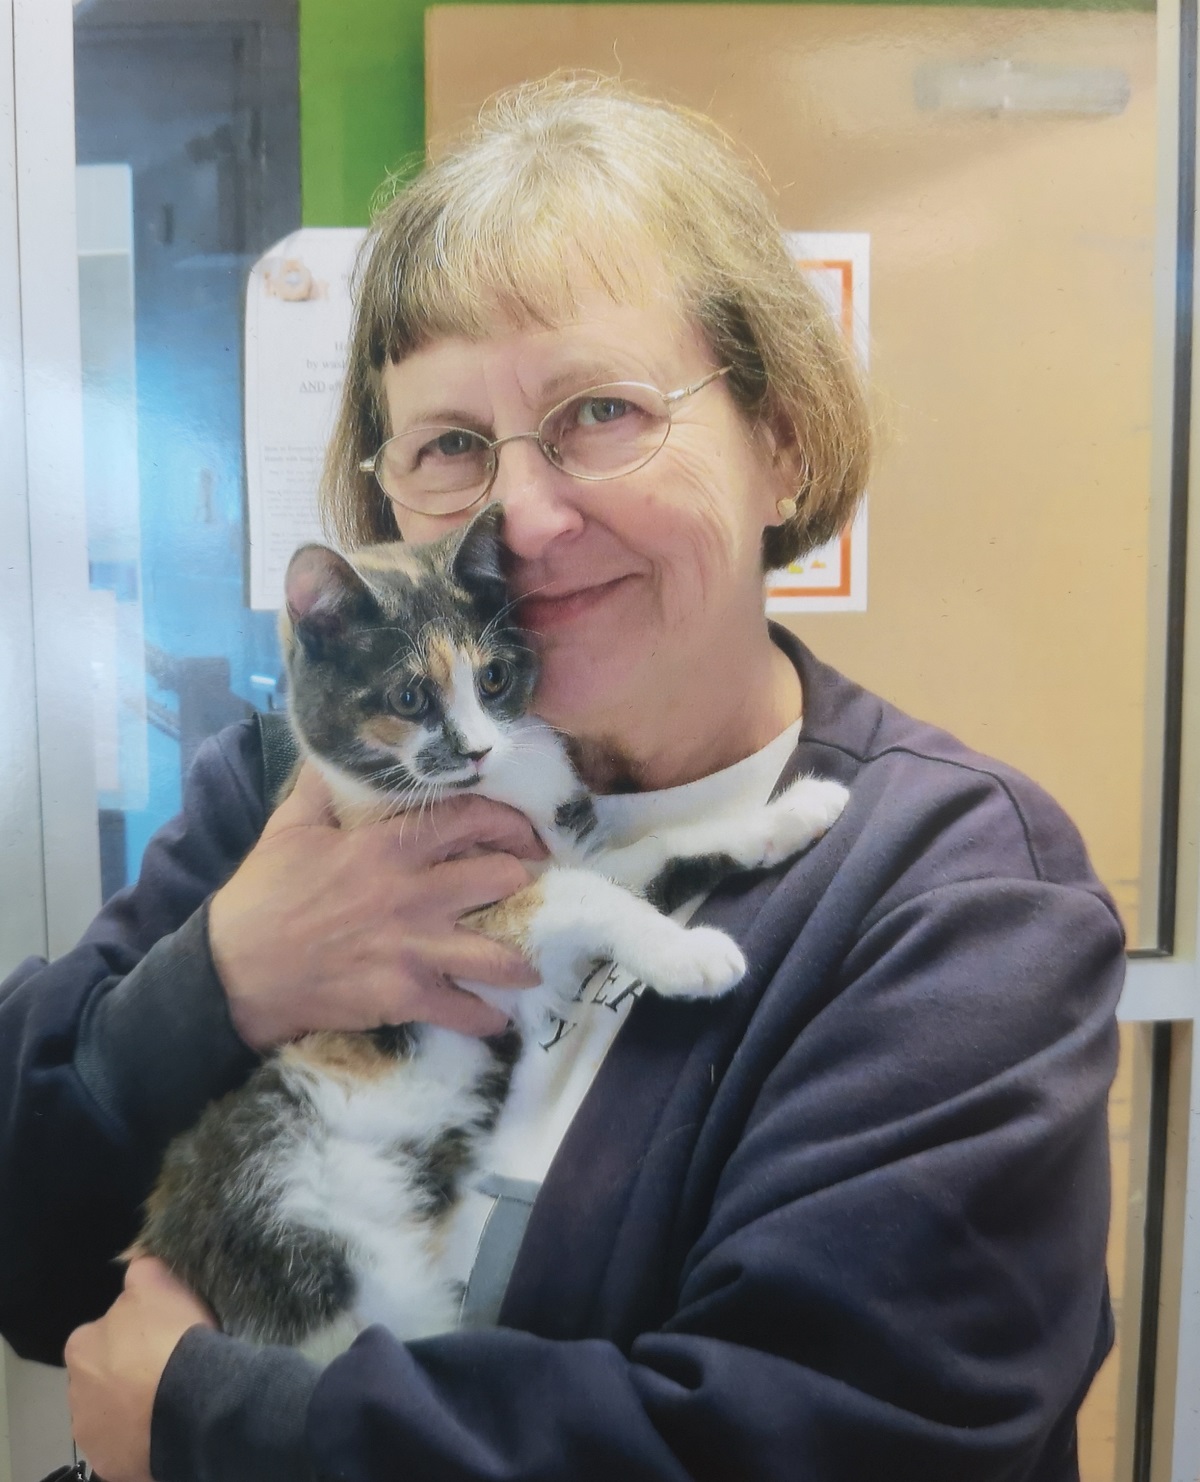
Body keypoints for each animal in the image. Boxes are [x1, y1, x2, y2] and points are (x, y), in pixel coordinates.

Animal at [133, 506, 841, 1357]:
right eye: (409, 696)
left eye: (494, 679)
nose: (475, 749)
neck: (495, 790)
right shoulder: (458, 924)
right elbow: (579, 891)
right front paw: (689, 954)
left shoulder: (562, 859)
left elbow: (650, 852)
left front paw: (793, 814)